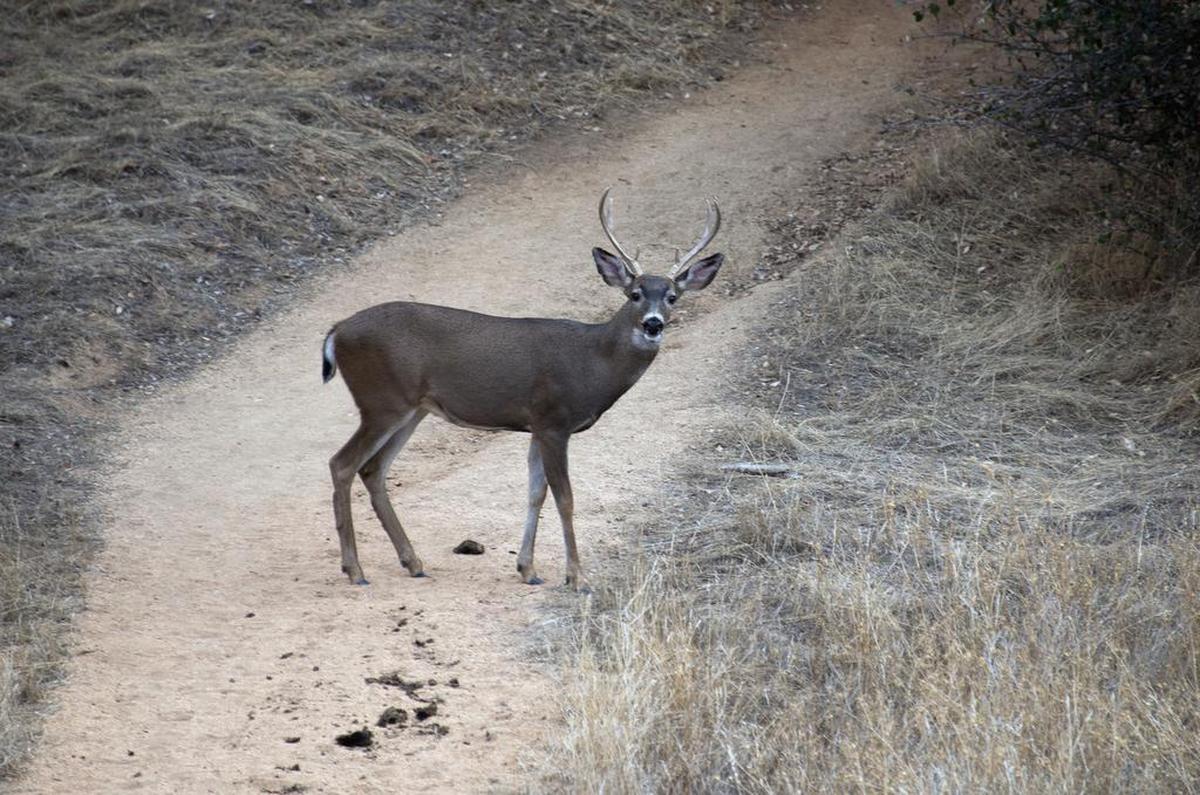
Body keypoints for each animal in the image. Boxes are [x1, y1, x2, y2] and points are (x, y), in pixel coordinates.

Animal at [321, 188, 723, 591]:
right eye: (635, 294)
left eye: (672, 296)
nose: (653, 324)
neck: (593, 362)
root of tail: (337, 331)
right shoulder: (554, 420)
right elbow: (565, 498)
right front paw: (576, 576)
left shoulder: (536, 424)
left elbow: (535, 493)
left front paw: (528, 569)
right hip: (382, 401)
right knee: (342, 463)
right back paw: (355, 570)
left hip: (411, 409)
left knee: (372, 469)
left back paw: (413, 562)